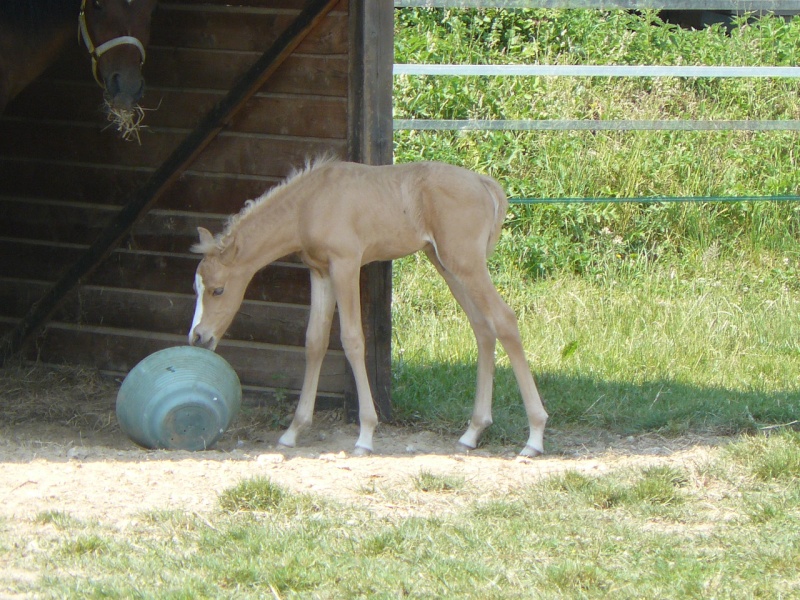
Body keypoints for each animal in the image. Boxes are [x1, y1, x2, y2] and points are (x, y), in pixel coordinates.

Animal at [191, 159, 548, 454]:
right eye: (196, 287)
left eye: (218, 290)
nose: (198, 337)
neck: (309, 203)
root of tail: (483, 183)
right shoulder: (320, 272)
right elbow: (314, 342)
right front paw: (294, 430)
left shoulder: (345, 264)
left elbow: (352, 339)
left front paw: (365, 434)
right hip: (448, 264)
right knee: (483, 327)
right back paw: (473, 432)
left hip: (466, 263)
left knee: (504, 319)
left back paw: (535, 435)